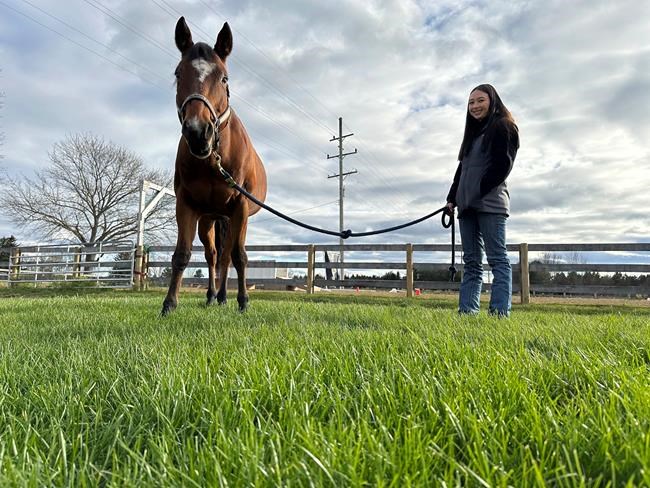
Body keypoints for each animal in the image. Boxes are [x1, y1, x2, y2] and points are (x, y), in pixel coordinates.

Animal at [161, 17, 267, 315]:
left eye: (224, 77)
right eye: (178, 74)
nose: (198, 132)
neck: (213, 159)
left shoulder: (240, 206)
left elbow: (240, 257)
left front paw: (243, 302)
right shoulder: (186, 205)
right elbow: (182, 255)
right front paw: (169, 304)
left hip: (231, 218)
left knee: (228, 257)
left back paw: (224, 297)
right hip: (210, 220)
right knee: (214, 256)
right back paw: (213, 295)